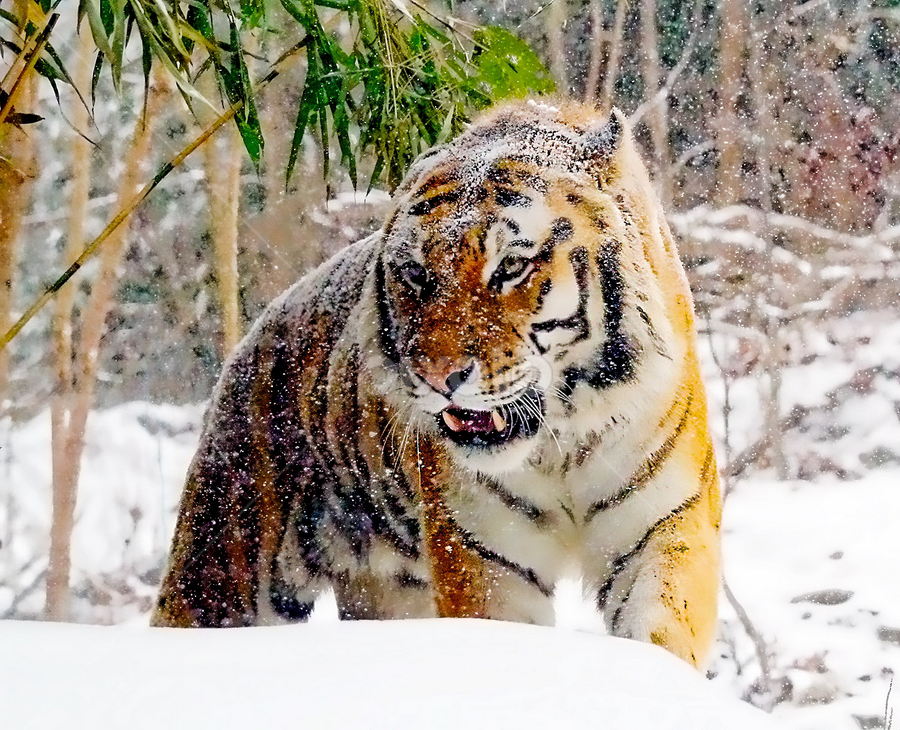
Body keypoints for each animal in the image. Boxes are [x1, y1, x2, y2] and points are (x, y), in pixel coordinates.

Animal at [152, 98, 721, 668]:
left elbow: (664, 628)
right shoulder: (483, 556)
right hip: (223, 563)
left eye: (510, 266)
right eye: (416, 274)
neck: (561, 443)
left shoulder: (667, 522)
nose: (438, 378)